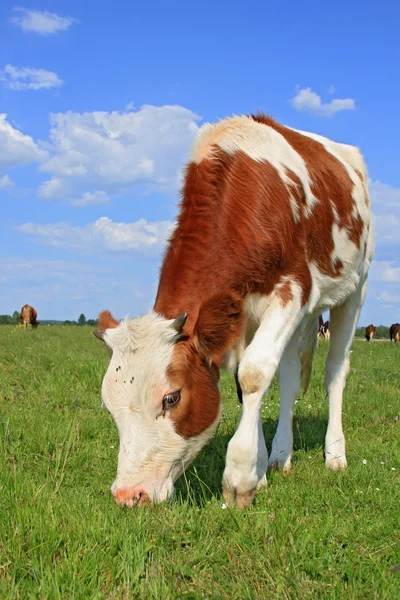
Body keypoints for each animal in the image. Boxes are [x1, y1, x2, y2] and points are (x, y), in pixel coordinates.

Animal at [94, 112, 376, 506]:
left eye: (171, 398)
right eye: (109, 404)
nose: (128, 493)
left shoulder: (293, 289)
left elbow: (253, 374)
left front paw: (240, 478)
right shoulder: (239, 312)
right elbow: (248, 383)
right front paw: (259, 471)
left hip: (355, 287)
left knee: (336, 368)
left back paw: (335, 454)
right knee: (289, 374)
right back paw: (280, 455)